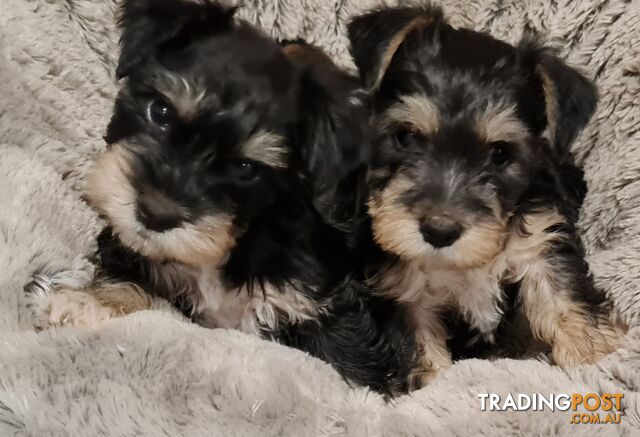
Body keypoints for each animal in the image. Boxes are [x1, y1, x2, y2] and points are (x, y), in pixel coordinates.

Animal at [30, 0, 418, 396]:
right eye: (161, 111)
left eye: (246, 168)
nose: (155, 214)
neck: (230, 246)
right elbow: (125, 274)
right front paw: (86, 300)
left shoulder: (323, 305)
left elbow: (350, 360)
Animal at [348, 5, 624, 388]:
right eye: (405, 136)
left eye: (500, 153)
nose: (439, 230)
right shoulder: (401, 290)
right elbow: (418, 347)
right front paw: (436, 385)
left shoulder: (541, 239)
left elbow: (562, 295)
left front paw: (595, 352)